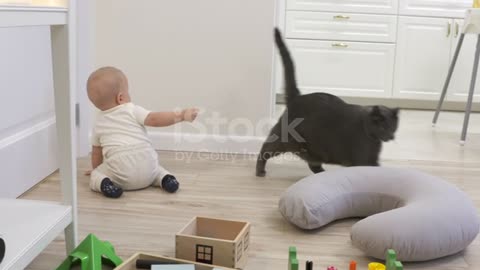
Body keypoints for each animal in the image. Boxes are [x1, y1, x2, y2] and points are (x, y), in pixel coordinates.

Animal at [256, 29, 400, 177]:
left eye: (393, 127)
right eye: (383, 127)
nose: (391, 136)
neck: (373, 139)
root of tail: (297, 97)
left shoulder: (372, 158)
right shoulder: (363, 159)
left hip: (315, 150)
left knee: (312, 163)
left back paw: (322, 174)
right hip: (284, 140)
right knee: (264, 150)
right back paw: (260, 171)